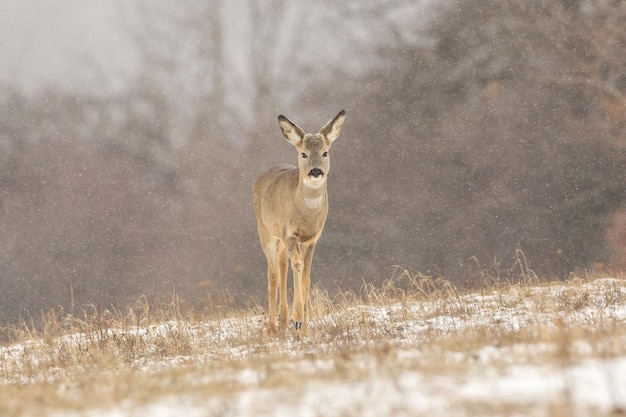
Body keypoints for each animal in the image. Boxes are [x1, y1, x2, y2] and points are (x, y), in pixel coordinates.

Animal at [251, 109, 344, 334]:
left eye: (325, 152)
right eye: (304, 153)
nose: (316, 171)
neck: (306, 214)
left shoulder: (312, 238)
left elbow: (306, 276)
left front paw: (303, 325)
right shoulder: (290, 233)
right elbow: (298, 267)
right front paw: (298, 319)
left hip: (282, 240)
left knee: (282, 265)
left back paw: (284, 321)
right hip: (265, 231)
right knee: (273, 274)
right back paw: (272, 326)